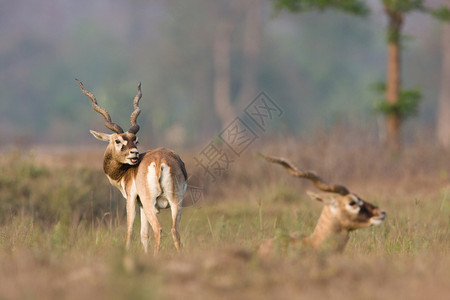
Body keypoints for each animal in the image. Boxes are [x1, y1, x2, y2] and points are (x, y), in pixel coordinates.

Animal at [78, 79, 187, 253]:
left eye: (135, 140)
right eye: (118, 140)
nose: (134, 153)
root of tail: (160, 161)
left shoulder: (131, 199)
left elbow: (130, 230)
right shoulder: (142, 205)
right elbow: (144, 234)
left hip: (151, 203)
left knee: (158, 229)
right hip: (176, 202)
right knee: (174, 230)